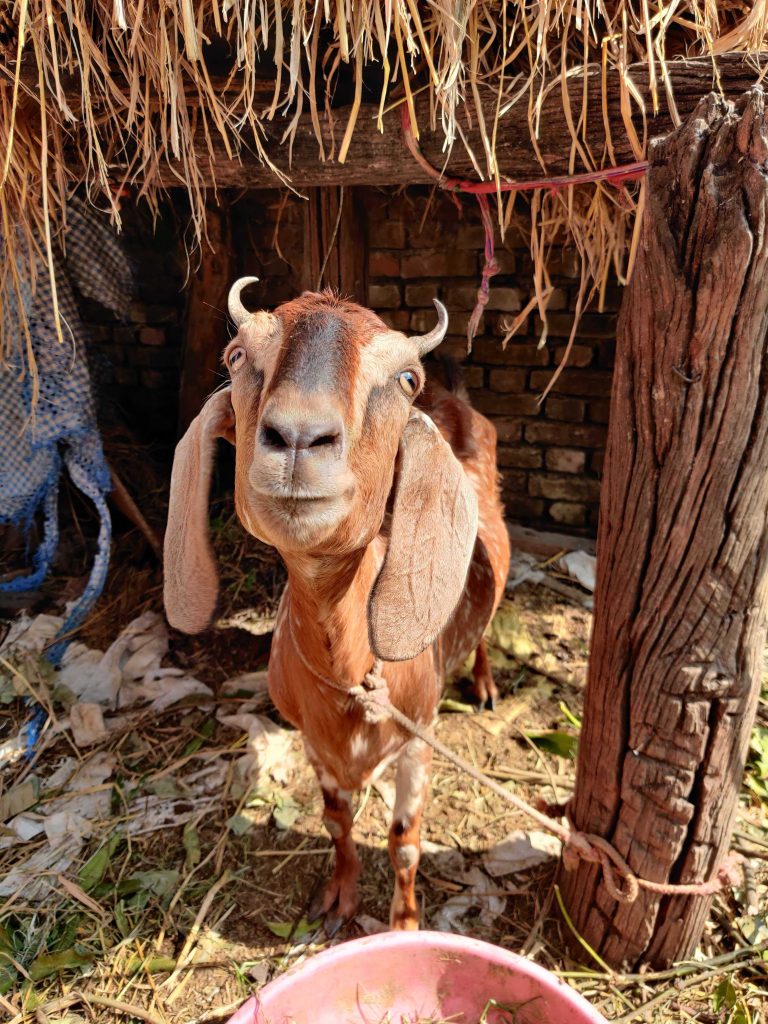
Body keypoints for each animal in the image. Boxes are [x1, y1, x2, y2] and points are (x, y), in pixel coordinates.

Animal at [162, 284, 512, 933]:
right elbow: (335, 822)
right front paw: (339, 900)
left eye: (406, 378)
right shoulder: (315, 746)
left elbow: (404, 842)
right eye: (236, 356)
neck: (348, 672)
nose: (299, 437)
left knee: (483, 627)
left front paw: (404, 925)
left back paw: (483, 684)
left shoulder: (419, 739)